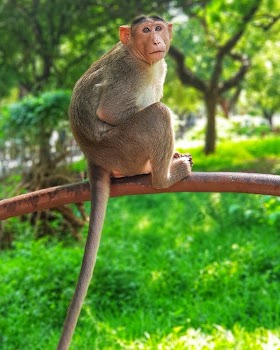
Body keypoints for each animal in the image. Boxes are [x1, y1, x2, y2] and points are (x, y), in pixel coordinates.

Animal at [57, 15, 192, 348]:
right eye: (145, 30)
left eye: (158, 28)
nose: (156, 40)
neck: (142, 58)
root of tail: (93, 158)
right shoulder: (130, 75)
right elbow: (111, 111)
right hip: (122, 147)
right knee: (157, 113)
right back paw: (164, 176)